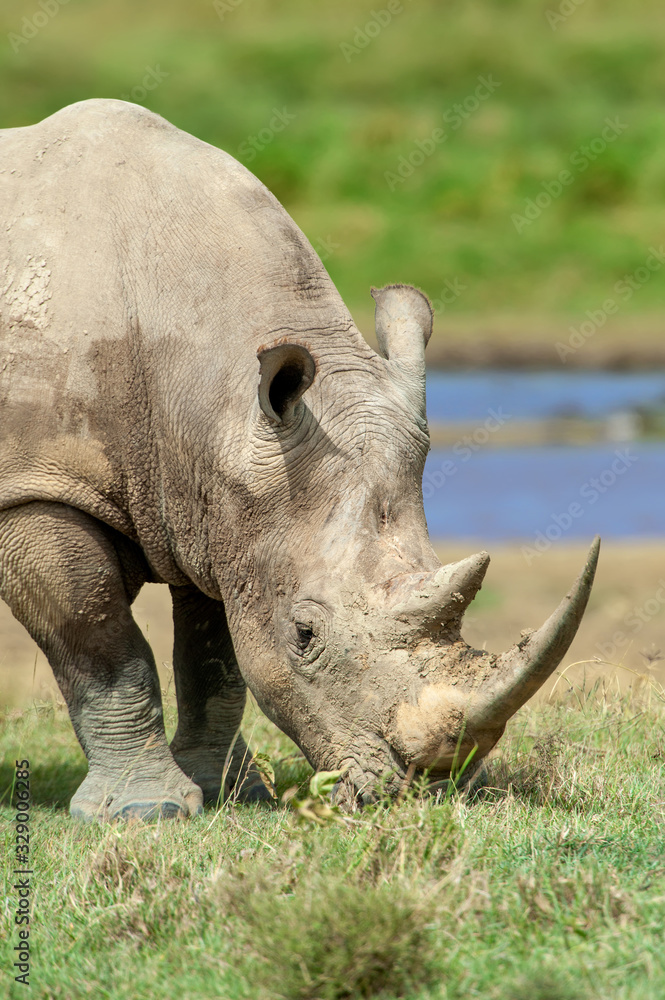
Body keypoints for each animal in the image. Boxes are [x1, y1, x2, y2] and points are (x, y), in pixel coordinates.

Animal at [0, 100, 599, 820]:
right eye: (306, 635)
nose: (421, 789)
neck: (211, 393)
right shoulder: (36, 486)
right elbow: (101, 641)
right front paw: (150, 812)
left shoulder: (217, 500)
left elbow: (217, 656)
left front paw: (228, 791)